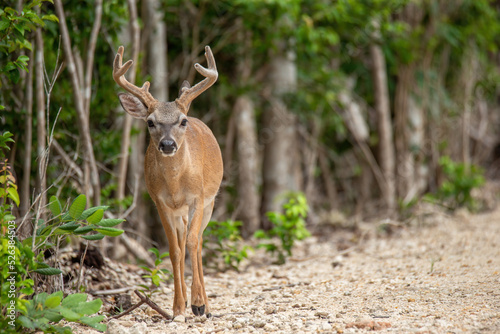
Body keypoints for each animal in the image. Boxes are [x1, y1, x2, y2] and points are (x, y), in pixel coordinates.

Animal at [114, 44, 224, 318]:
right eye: (150, 122)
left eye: (182, 121)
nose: (167, 144)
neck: (175, 185)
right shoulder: (160, 202)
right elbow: (174, 250)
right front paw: (177, 307)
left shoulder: (198, 197)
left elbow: (193, 242)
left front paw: (198, 303)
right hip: (179, 212)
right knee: (184, 241)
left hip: (210, 202)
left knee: (198, 241)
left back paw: (205, 306)